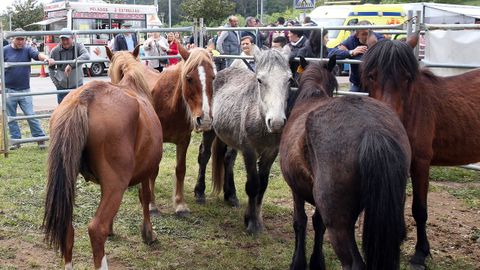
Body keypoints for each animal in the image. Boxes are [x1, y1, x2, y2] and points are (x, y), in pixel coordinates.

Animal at [41, 45, 161, 268]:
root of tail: (84, 98)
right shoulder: (147, 171)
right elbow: (145, 197)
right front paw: (148, 233)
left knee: (68, 228)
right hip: (116, 184)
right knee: (96, 229)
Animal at [142, 43, 216, 215]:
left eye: (213, 78)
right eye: (189, 78)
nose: (205, 120)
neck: (170, 104)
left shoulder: (184, 140)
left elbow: (181, 169)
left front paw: (180, 204)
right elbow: (154, 171)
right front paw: (152, 205)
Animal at [202, 49, 290, 235]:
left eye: (289, 79)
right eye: (260, 80)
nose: (276, 123)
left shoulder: (271, 153)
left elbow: (262, 186)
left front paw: (256, 219)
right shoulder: (249, 150)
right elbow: (253, 185)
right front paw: (252, 224)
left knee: (228, 160)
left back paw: (231, 196)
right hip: (209, 129)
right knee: (204, 156)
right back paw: (199, 193)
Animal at [280, 57, 410, 270]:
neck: (312, 95)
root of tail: (372, 130)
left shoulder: (296, 189)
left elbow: (300, 222)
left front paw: (298, 263)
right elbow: (317, 223)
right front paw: (317, 262)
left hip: (338, 223)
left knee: (353, 263)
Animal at [362, 38, 480, 268]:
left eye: (406, 78)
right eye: (371, 75)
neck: (412, 108)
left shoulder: (420, 163)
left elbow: (419, 209)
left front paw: (420, 253)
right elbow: (400, 202)